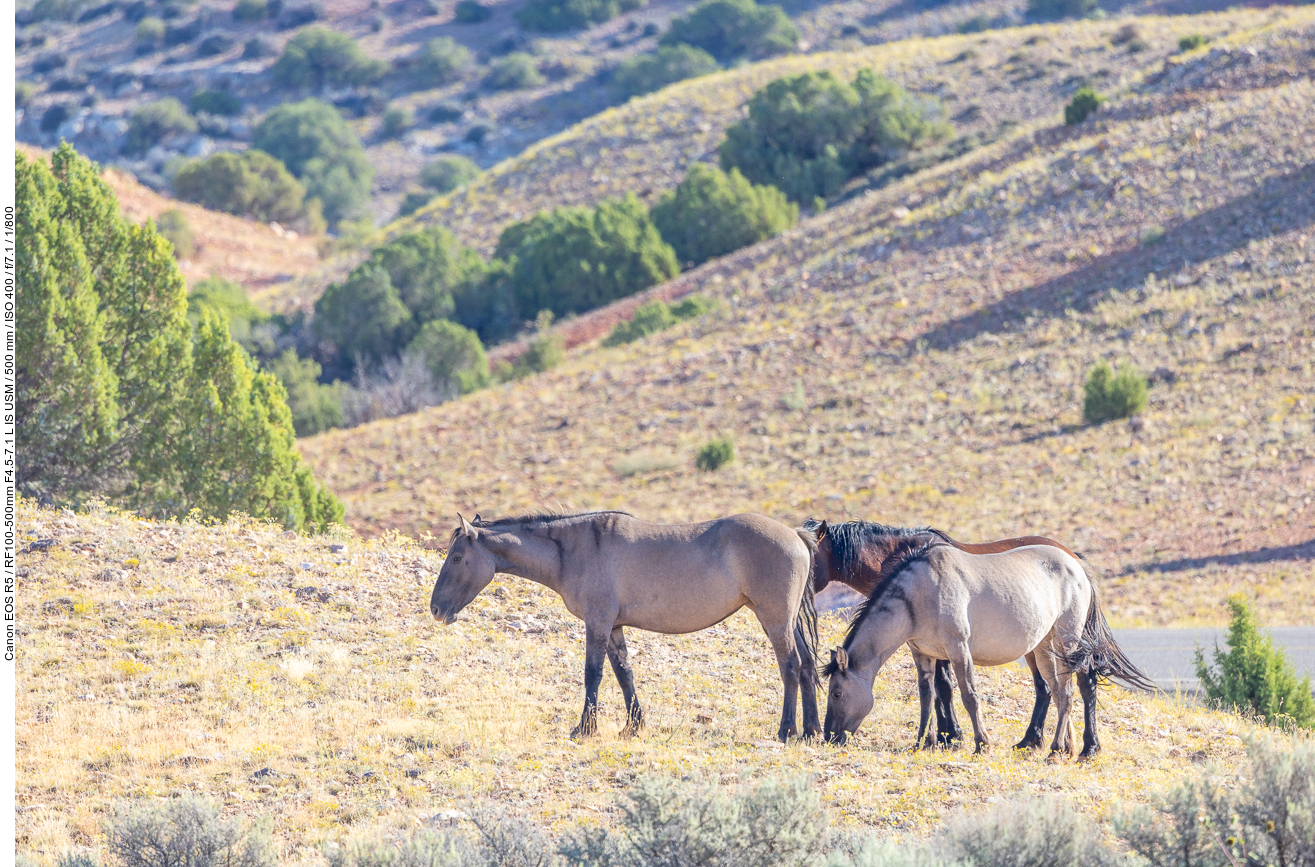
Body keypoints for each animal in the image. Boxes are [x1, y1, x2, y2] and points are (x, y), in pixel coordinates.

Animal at [428, 513, 820, 742]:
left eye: (457, 557)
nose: (435, 609)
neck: (575, 549)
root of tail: (796, 534)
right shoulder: (614, 627)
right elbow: (623, 674)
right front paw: (633, 726)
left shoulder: (598, 622)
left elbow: (594, 674)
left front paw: (584, 729)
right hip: (787, 622)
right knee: (807, 666)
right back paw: (813, 731)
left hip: (774, 619)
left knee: (790, 666)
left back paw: (787, 731)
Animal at [820, 542, 1151, 757]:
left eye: (836, 692)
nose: (828, 737)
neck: (919, 592)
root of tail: (1076, 565)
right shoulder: (923, 654)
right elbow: (927, 697)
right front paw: (923, 742)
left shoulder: (958, 650)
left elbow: (969, 696)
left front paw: (981, 743)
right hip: (1044, 648)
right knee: (1060, 693)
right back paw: (1065, 747)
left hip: (1068, 642)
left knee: (1077, 688)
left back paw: (1067, 748)